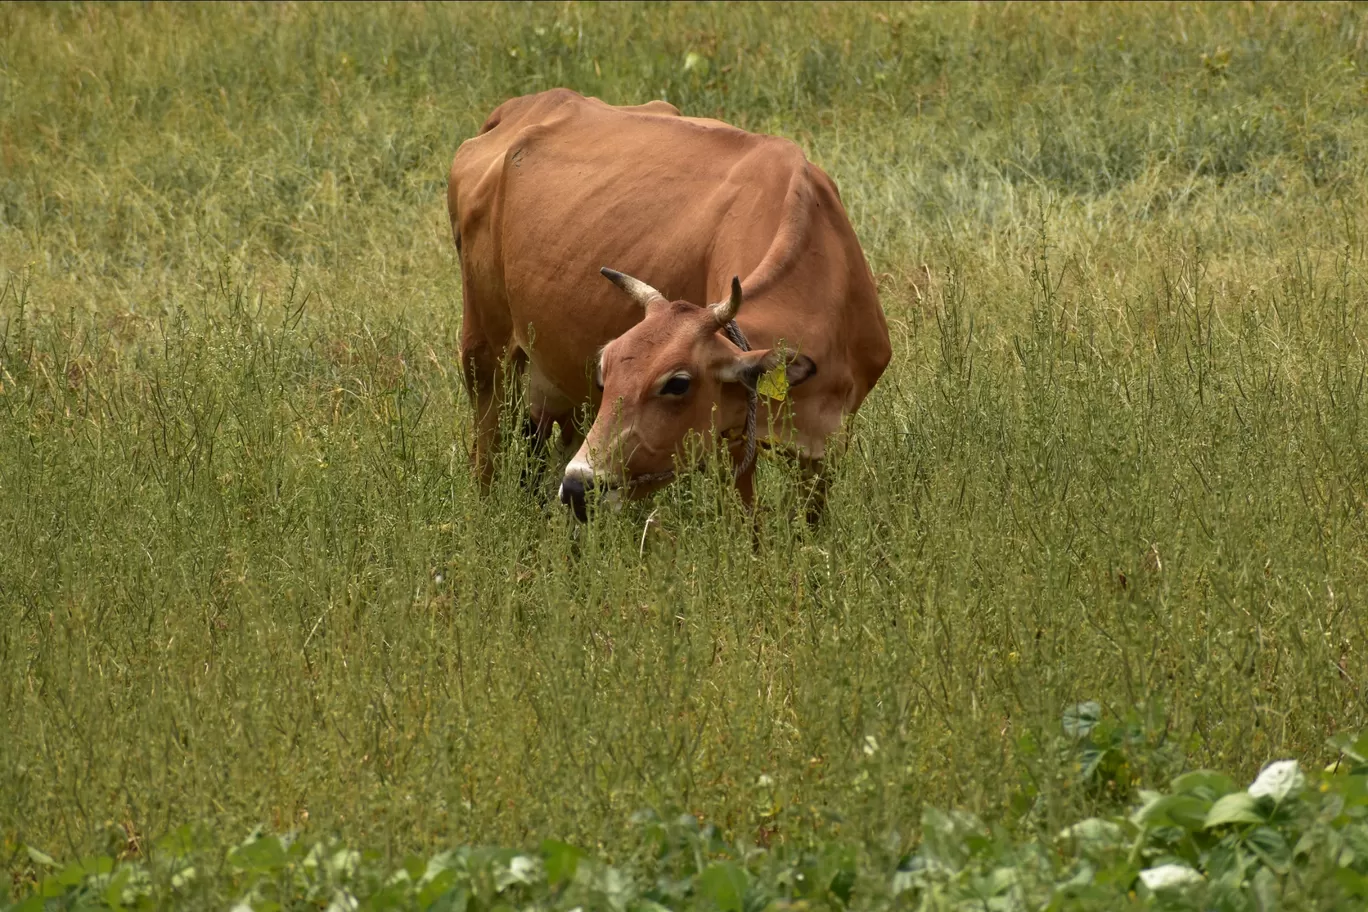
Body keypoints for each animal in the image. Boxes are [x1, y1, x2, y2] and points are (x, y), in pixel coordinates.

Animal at [448, 90, 891, 525]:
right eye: (606, 368)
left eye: (677, 383)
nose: (578, 487)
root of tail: (524, 106)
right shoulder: (730, 445)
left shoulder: (828, 446)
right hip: (483, 350)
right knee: (485, 448)